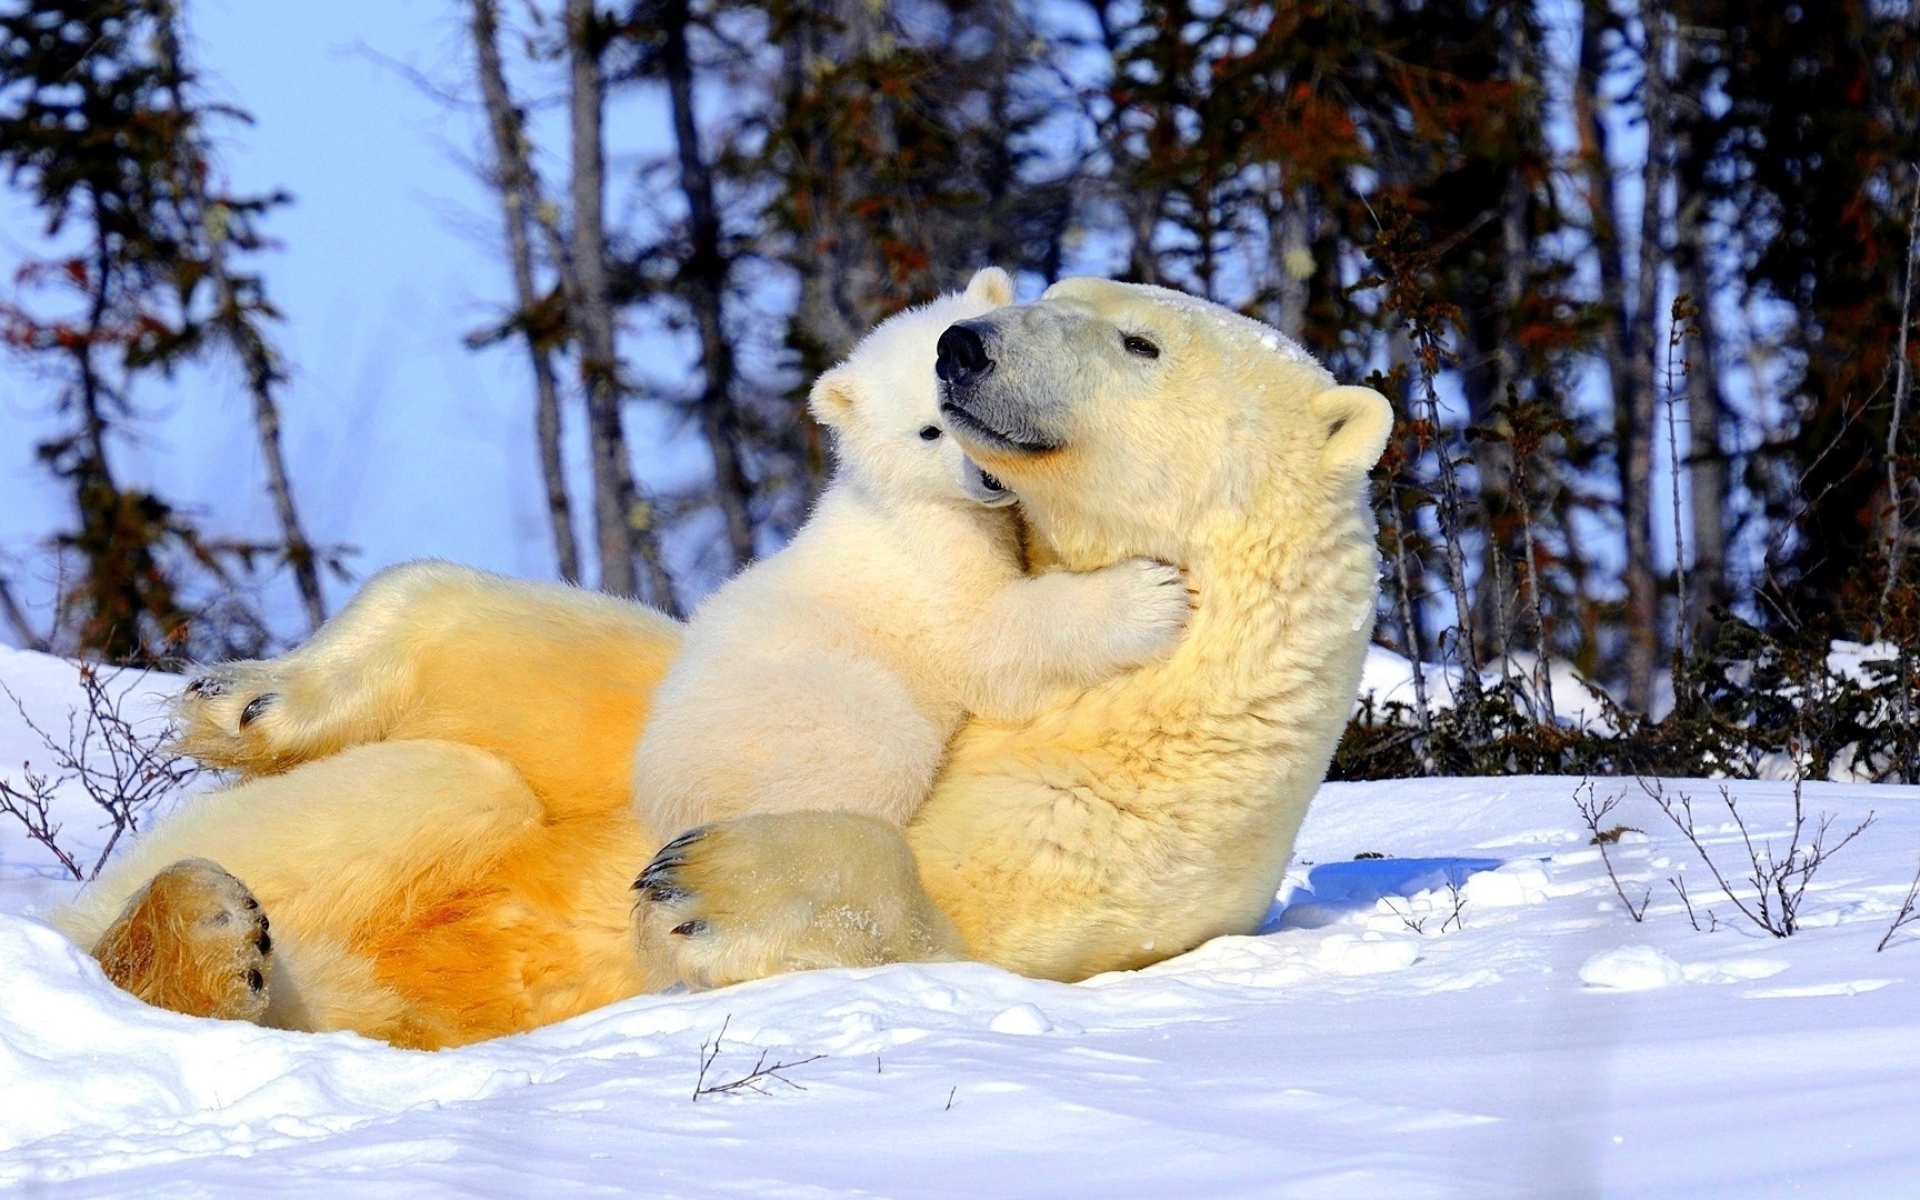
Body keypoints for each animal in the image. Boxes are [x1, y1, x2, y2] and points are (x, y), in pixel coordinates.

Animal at [637, 266, 1190, 837]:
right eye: (929, 431)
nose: (990, 477)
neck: (901, 495)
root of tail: (664, 795)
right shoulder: (931, 548)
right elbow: (982, 635)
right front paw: (1150, 595)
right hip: (810, 706)